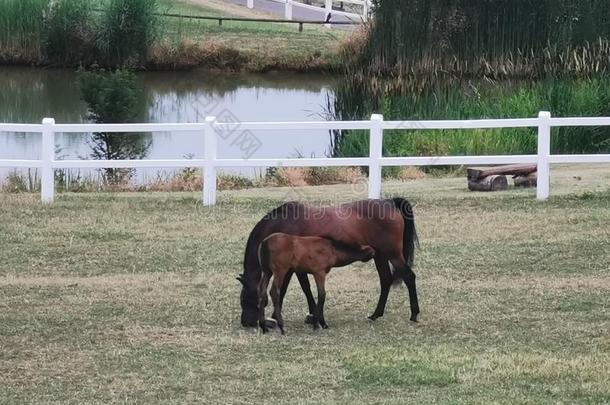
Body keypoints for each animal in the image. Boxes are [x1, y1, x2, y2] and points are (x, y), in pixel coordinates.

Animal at [238, 197, 418, 326]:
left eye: (246, 298)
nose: (246, 323)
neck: (284, 224)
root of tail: (389, 203)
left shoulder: (289, 268)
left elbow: (287, 289)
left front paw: (277, 317)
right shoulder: (299, 267)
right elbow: (305, 288)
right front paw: (313, 314)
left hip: (393, 255)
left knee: (409, 277)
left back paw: (414, 314)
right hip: (380, 256)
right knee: (385, 280)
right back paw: (375, 314)